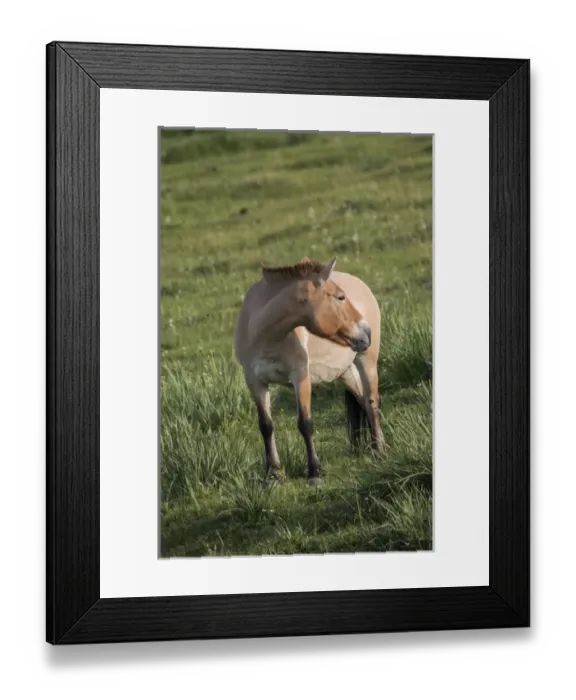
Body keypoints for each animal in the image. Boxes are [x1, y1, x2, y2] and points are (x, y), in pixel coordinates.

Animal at [233, 256, 384, 485]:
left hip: (367, 362)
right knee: (363, 402)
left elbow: (305, 423)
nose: (366, 331)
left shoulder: (300, 377)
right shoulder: (255, 382)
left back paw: (379, 451)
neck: (265, 336)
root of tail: (362, 285)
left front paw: (314, 473)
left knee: (372, 402)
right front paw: (273, 473)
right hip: (346, 372)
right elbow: (266, 426)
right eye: (340, 297)